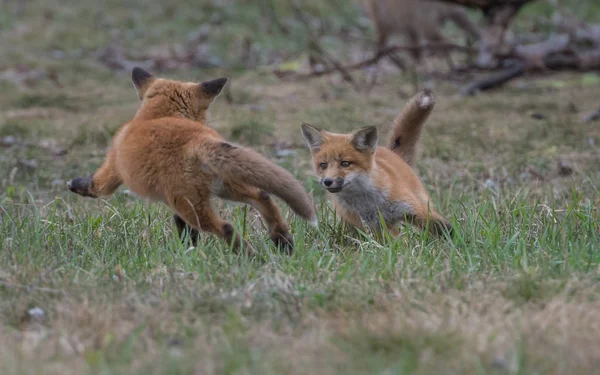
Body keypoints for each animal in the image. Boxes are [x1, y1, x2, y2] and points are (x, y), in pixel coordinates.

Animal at [68, 68, 316, 254]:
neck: (157, 116)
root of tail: (197, 139)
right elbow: (186, 232)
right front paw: (189, 251)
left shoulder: (113, 166)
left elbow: (97, 186)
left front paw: (76, 185)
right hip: (225, 187)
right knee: (263, 196)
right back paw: (282, 241)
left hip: (190, 204)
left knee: (225, 227)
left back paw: (249, 255)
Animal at [300, 90, 450, 238]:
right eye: (323, 165)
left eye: (345, 163)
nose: (327, 181)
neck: (371, 203)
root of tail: (392, 153)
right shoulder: (373, 227)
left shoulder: (416, 210)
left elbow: (446, 229)